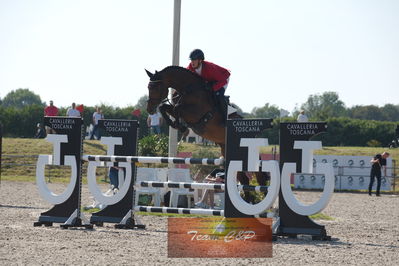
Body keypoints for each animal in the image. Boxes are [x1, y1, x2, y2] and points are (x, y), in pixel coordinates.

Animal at [146, 66, 268, 204]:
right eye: (148, 87)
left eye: (155, 87)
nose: (149, 109)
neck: (188, 89)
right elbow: (164, 107)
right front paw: (177, 124)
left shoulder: (195, 113)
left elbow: (176, 108)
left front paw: (181, 126)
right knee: (243, 179)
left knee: (259, 177)